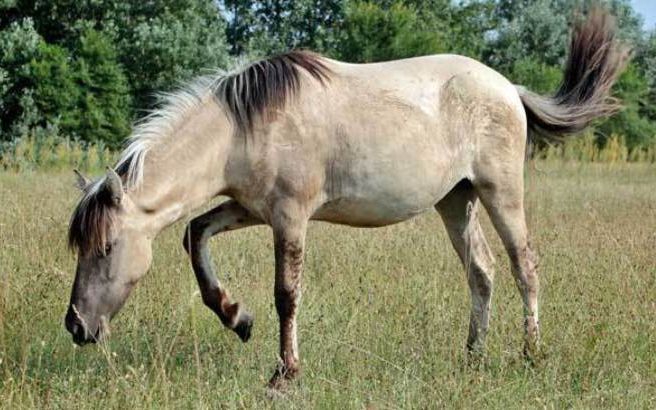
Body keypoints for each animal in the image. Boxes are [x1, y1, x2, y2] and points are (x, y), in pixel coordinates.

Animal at [65, 8, 624, 388]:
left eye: (106, 248)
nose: (76, 326)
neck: (244, 127)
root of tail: (509, 87)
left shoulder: (289, 218)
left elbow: (286, 295)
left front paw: (284, 373)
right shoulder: (249, 209)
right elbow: (194, 234)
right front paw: (236, 317)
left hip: (499, 191)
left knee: (523, 265)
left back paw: (529, 354)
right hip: (455, 200)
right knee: (481, 272)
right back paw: (473, 358)